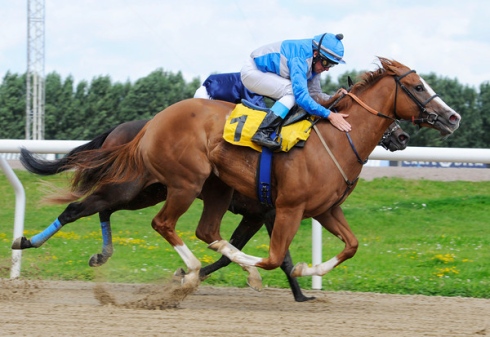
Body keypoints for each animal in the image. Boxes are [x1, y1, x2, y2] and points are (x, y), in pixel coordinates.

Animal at [14, 57, 460, 288]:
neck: (333, 139)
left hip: (168, 189)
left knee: (126, 213)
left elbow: (350, 246)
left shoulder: (322, 209)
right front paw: (290, 278)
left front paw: (306, 275)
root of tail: (150, 123)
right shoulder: (283, 209)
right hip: (175, 183)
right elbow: (276, 257)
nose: (453, 118)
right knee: (135, 218)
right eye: (417, 87)